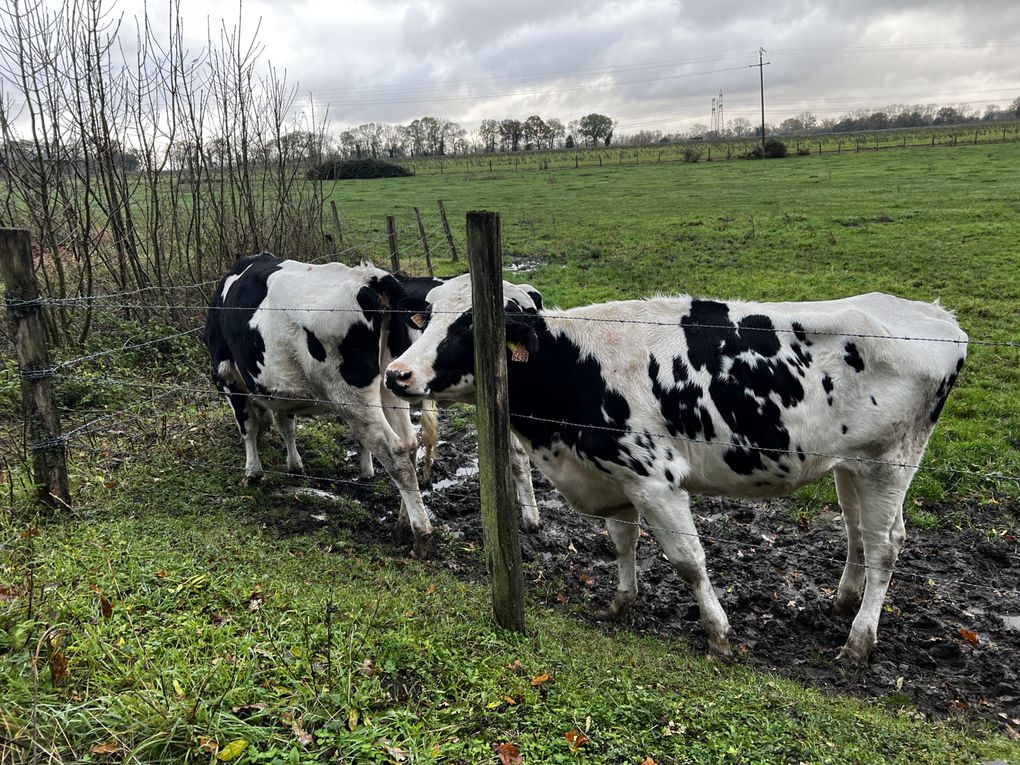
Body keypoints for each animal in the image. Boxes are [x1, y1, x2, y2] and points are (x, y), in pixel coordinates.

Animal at [205, 256, 432, 558]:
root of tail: (371, 277)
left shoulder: (226, 374)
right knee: (409, 444)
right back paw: (401, 523)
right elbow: (285, 424)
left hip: (349, 393)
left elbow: (248, 427)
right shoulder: (280, 388)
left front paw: (252, 472)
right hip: (392, 385)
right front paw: (294, 465)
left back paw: (421, 535)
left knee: (394, 452)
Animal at [385, 277, 966, 665]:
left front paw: (719, 635)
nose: (397, 373)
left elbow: (688, 562)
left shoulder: (654, 479)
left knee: (886, 544)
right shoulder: (614, 475)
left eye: (469, 325)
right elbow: (621, 542)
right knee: (857, 530)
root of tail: (936, 316)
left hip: (890, 460)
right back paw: (844, 601)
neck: (574, 369)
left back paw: (859, 640)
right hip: (851, 463)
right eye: (427, 318)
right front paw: (620, 603)